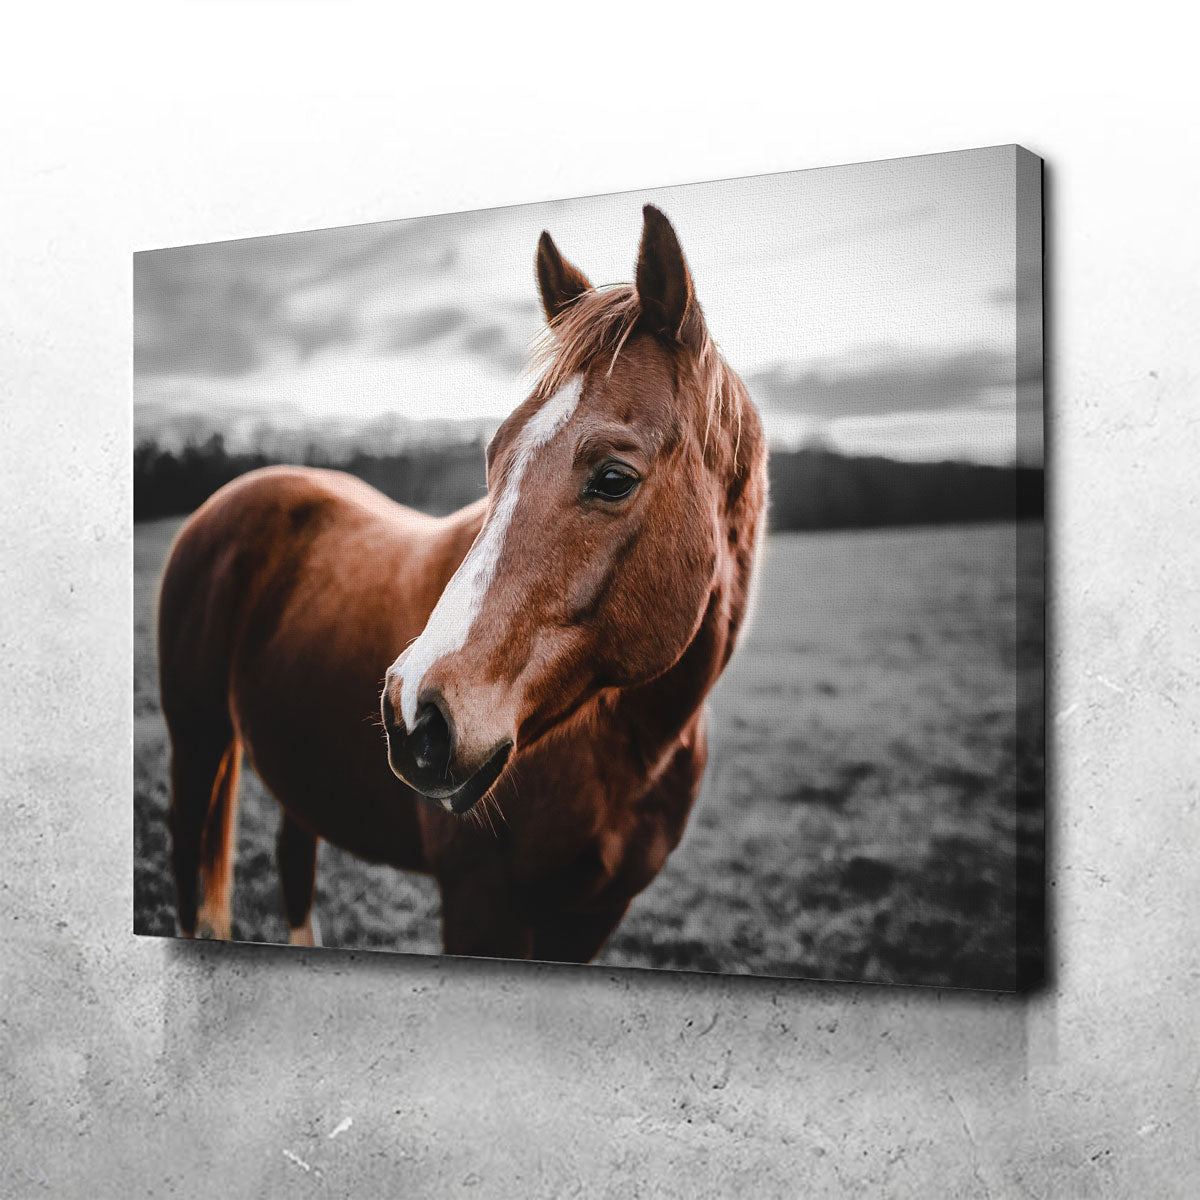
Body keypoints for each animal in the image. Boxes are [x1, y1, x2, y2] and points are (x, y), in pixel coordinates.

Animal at [158, 204, 768, 962]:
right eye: (495, 455)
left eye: (613, 478)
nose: (412, 714)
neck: (630, 749)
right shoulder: (482, 903)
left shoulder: (592, 918)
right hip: (196, 740)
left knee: (295, 860)